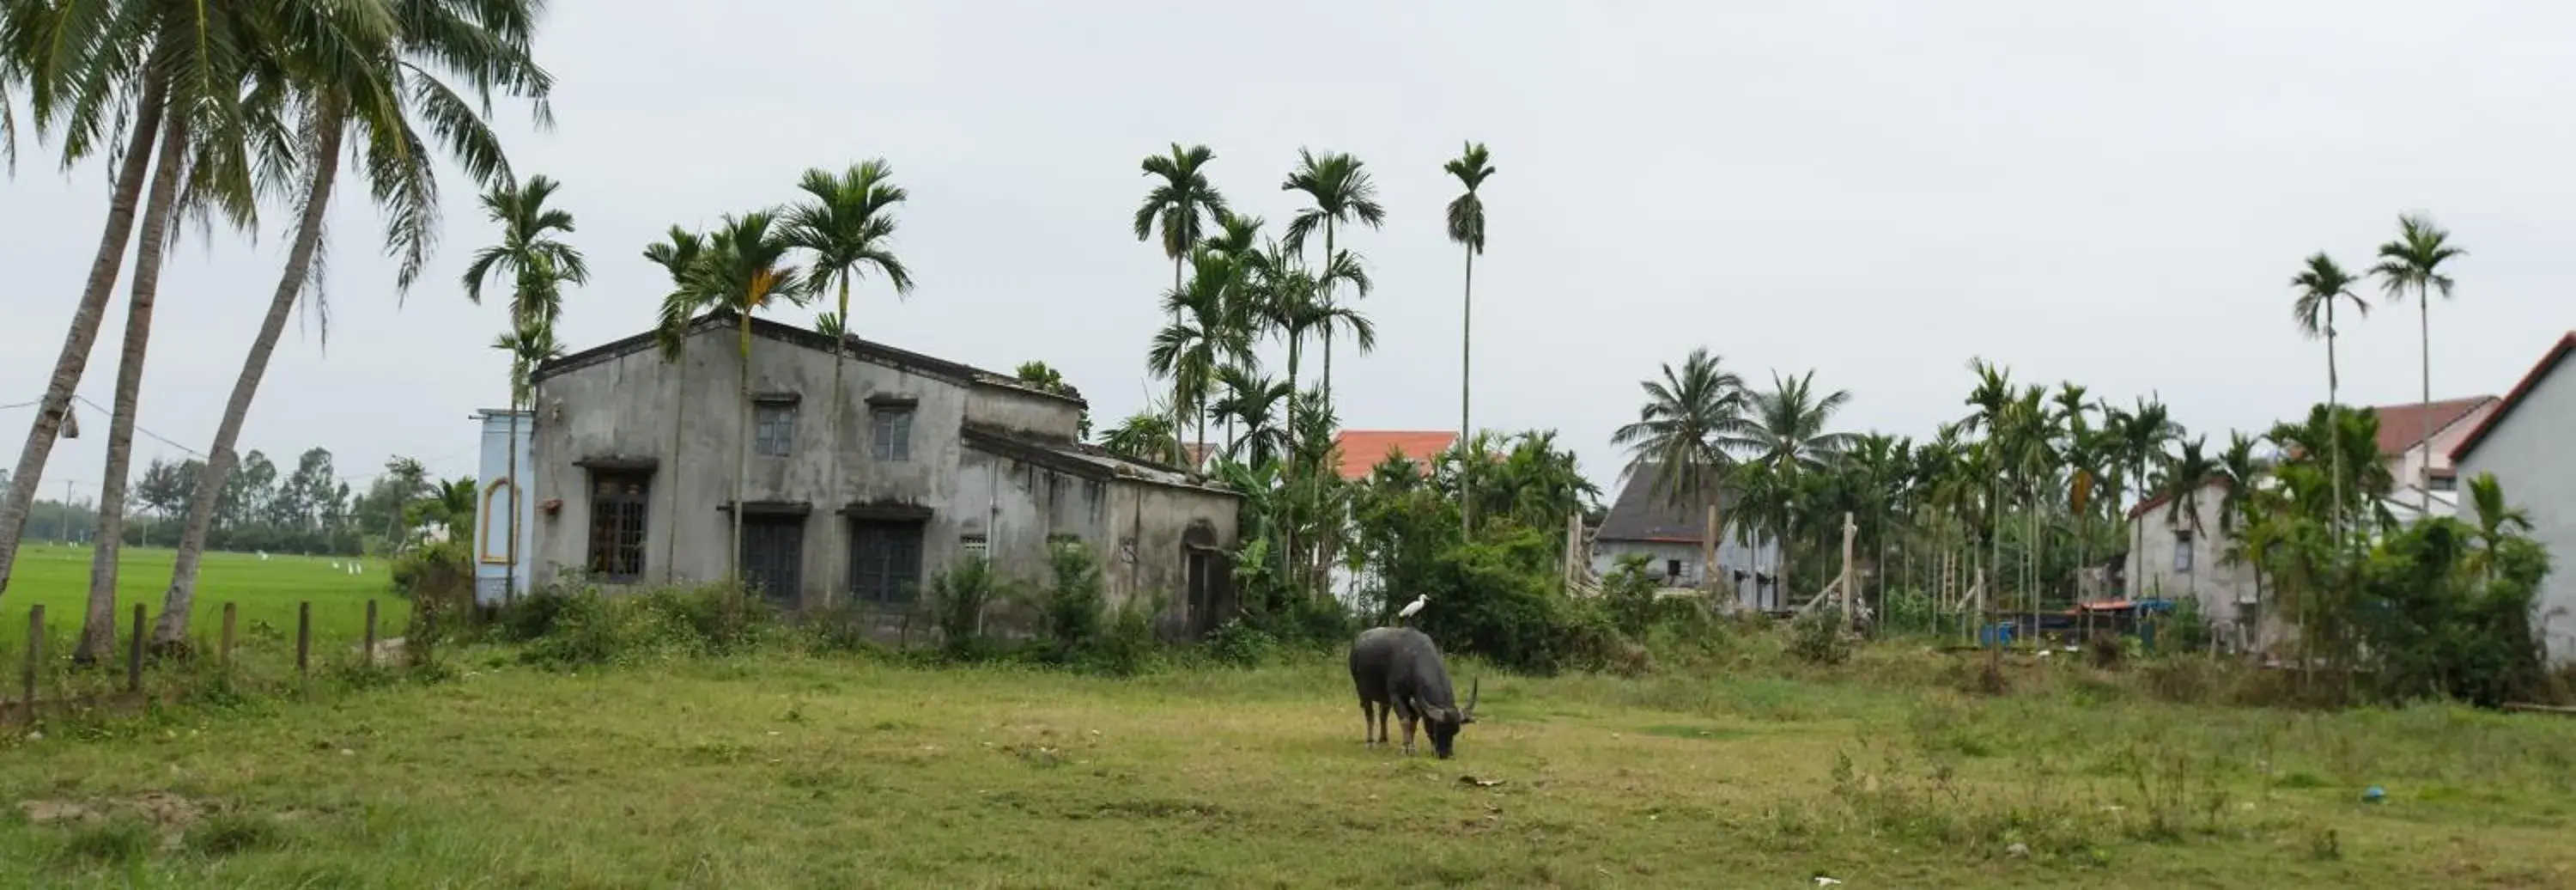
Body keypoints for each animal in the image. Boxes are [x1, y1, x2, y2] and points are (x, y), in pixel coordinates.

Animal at [1340, 624, 1484, 753]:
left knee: (1383, 715)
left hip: (1384, 697)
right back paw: (1370, 742)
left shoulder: (1416, 702)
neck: (1413, 661)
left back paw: (1384, 740)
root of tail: (1358, 643)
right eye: (1437, 727)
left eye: (1456, 730)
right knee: (1370, 715)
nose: (1445, 754)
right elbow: (1405, 720)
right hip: (1363, 692)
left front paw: (1412, 747)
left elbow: (1413, 724)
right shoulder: (1396, 696)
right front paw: (1405, 747)